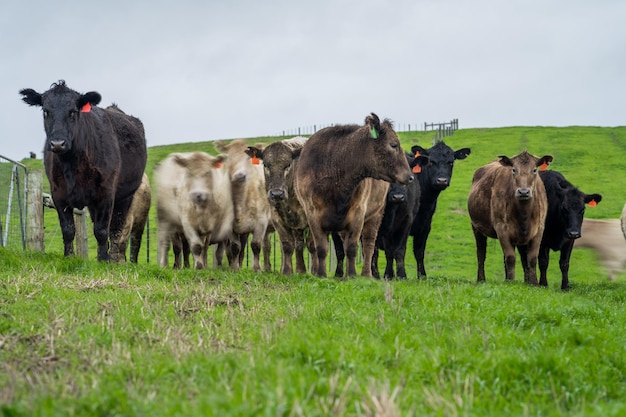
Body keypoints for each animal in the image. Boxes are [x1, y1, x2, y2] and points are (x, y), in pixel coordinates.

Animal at [19, 80, 146, 260]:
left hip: (126, 196)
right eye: (45, 111)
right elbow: (68, 229)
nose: (57, 143)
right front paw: (69, 256)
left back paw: (115, 258)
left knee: (117, 227)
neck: (73, 165)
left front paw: (103, 260)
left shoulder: (106, 193)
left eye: (73, 111)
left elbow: (102, 230)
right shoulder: (58, 194)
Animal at [294, 112, 412, 278]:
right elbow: (322, 248)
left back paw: (367, 274)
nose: (410, 176)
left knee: (369, 245)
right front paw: (321, 274)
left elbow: (352, 248)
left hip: (375, 215)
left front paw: (352, 274)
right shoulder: (312, 214)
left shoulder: (358, 213)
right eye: (394, 145)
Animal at [466, 151, 552, 284]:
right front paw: (511, 281)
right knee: (481, 253)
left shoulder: (539, 229)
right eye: (514, 169)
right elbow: (511, 258)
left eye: (534, 170)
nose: (523, 192)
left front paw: (533, 283)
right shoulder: (501, 228)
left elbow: (532, 258)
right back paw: (481, 279)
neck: (524, 214)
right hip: (476, 227)